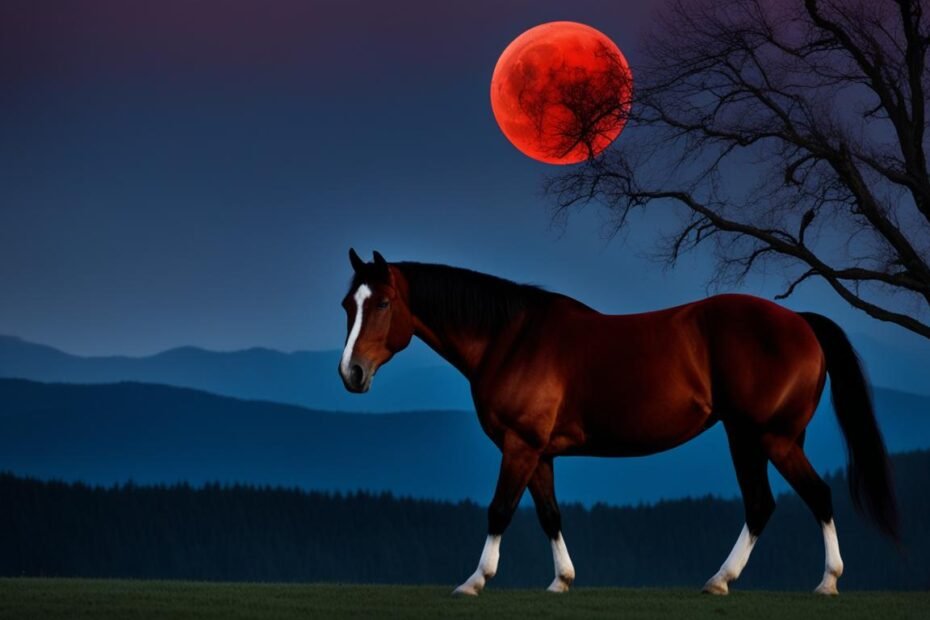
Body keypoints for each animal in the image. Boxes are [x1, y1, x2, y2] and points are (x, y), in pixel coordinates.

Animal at [338, 249, 897, 596]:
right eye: (348, 304)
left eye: (382, 302)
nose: (351, 372)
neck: (510, 338)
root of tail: (801, 322)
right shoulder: (539, 452)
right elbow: (550, 516)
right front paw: (561, 581)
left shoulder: (518, 445)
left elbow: (499, 511)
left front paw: (473, 582)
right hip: (750, 437)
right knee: (762, 504)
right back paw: (721, 580)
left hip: (769, 437)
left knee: (813, 495)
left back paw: (826, 582)